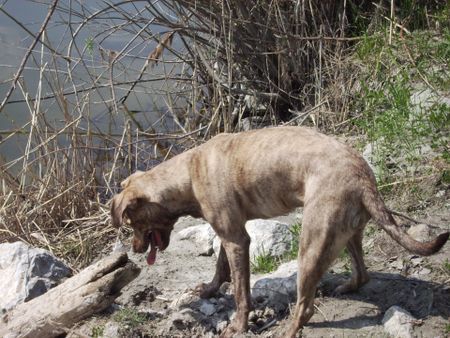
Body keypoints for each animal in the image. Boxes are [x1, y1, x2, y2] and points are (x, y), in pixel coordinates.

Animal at [110, 127, 448, 338]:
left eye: (131, 222)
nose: (136, 250)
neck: (187, 175)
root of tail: (363, 177)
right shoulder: (229, 235)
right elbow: (220, 268)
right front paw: (209, 289)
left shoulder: (236, 239)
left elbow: (241, 293)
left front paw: (238, 325)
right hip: (346, 232)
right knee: (363, 272)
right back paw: (348, 286)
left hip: (311, 244)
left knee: (305, 307)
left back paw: (289, 330)